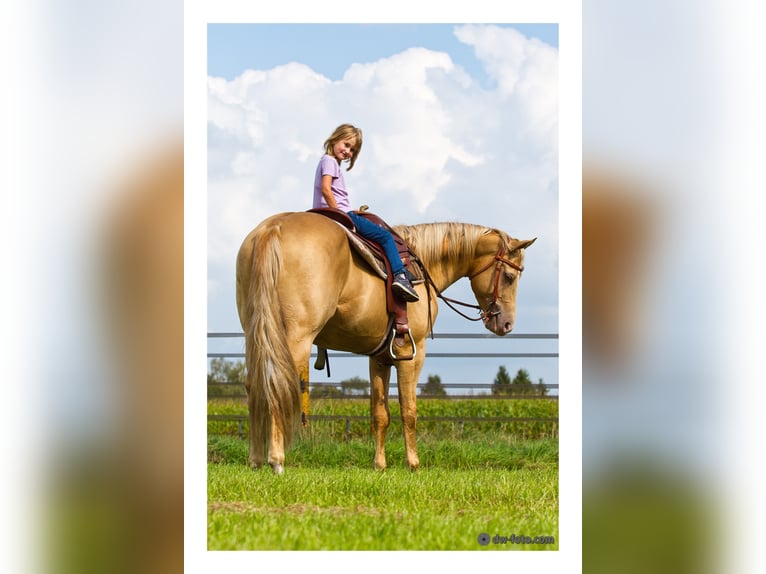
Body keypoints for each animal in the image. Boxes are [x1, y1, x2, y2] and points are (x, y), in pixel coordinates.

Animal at [235, 211, 536, 474]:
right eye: (509, 277)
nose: (506, 324)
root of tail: (273, 229)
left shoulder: (379, 357)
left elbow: (380, 413)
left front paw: (379, 465)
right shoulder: (413, 352)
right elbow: (409, 410)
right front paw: (413, 464)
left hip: (257, 334)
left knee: (254, 385)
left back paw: (255, 459)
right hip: (294, 338)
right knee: (276, 382)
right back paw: (276, 460)